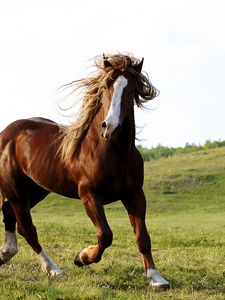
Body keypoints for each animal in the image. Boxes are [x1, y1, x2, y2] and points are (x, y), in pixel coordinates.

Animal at [0, 53, 169, 288]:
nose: (110, 128)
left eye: (132, 89)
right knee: (27, 229)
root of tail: (7, 133)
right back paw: (53, 269)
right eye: (106, 86)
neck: (110, 150)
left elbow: (142, 236)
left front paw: (156, 278)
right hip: (15, 190)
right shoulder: (89, 194)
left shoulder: (134, 195)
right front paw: (81, 258)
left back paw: (4, 254)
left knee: (9, 215)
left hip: (35, 190)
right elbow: (105, 235)